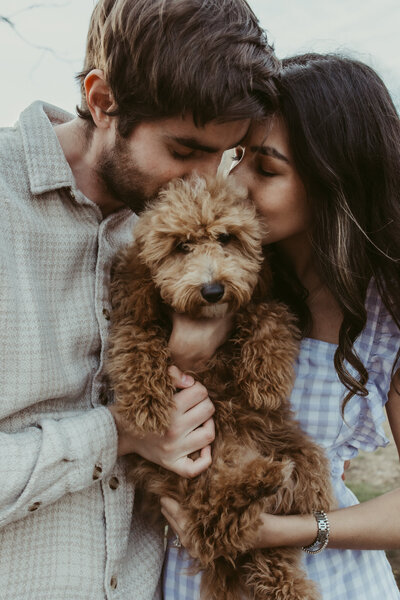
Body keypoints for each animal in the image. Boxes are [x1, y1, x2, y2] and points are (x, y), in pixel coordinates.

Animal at [106, 176, 334, 600]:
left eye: (226, 238)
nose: (213, 290)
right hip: (191, 476)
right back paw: (260, 481)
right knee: (213, 522)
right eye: (181, 246)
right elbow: (136, 340)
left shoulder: (257, 297)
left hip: (281, 436)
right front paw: (147, 406)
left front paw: (267, 379)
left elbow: (269, 313)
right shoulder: (138, 311)